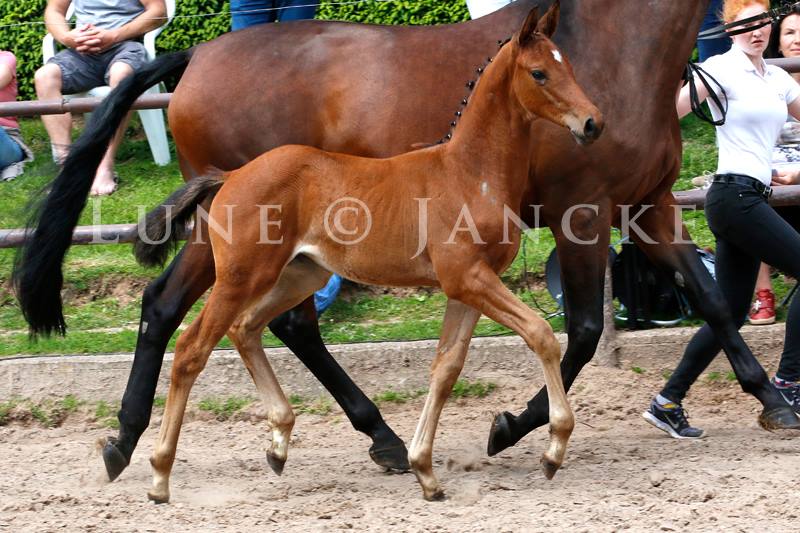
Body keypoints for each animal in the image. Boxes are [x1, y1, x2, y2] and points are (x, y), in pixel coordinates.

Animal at [139, 6, 600, 500]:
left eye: (570, 67)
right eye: (539, 73)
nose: (593, 123)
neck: (468, 173)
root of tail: (230, 176)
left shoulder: (468, 287)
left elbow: (446, 367)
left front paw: (425, 470)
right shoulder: (468, 278)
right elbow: (541, 334)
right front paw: (554, 449)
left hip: (301, 274)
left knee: (245, 328)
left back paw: (279, 442)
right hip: (241, 276)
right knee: (191, 349)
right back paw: (159, 474)